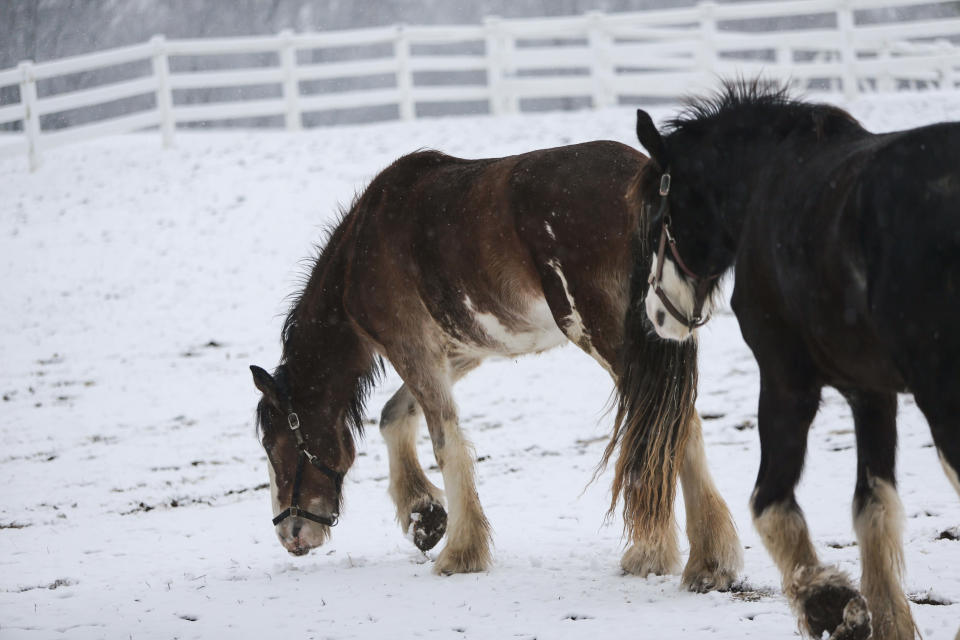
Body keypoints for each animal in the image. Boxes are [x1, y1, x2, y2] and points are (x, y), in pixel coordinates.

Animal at [249, 141, 744, 584]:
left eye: (274, 445)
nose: (291, 534)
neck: (362, 248)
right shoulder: (459, 352)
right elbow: (394, 416)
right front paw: (424, 516)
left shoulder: (413, 349)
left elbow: (445, 440)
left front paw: (459, 552)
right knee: (679, 423)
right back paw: (704, 562)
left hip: (610, 339)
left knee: (663, 424)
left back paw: (665, 557)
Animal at [636, 80, 960, 640]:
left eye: (661, 216)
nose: (658, 311)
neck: (766, 178)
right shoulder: (870, 392)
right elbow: (873, 507)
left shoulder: (786, 382)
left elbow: (770, 503)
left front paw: (829, 604)